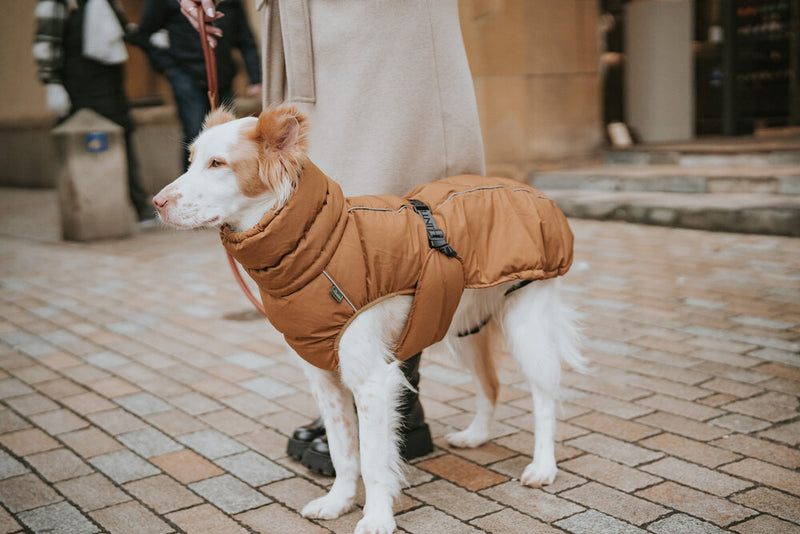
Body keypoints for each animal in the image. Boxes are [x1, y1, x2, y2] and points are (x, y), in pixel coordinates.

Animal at [153, 105, 584, 534]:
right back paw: (476, 435)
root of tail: (531, 191)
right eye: (191, 161)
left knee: (545, 397)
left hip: (526, 326)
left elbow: (373, 460)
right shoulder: (324, 379)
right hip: (463, 326)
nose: (156, 202)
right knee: (491, 385)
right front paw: (338, 502)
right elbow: (343, 452)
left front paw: (376, 517)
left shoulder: (372, 383)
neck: (318, 245)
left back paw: (543, 467)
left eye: (217, 163)